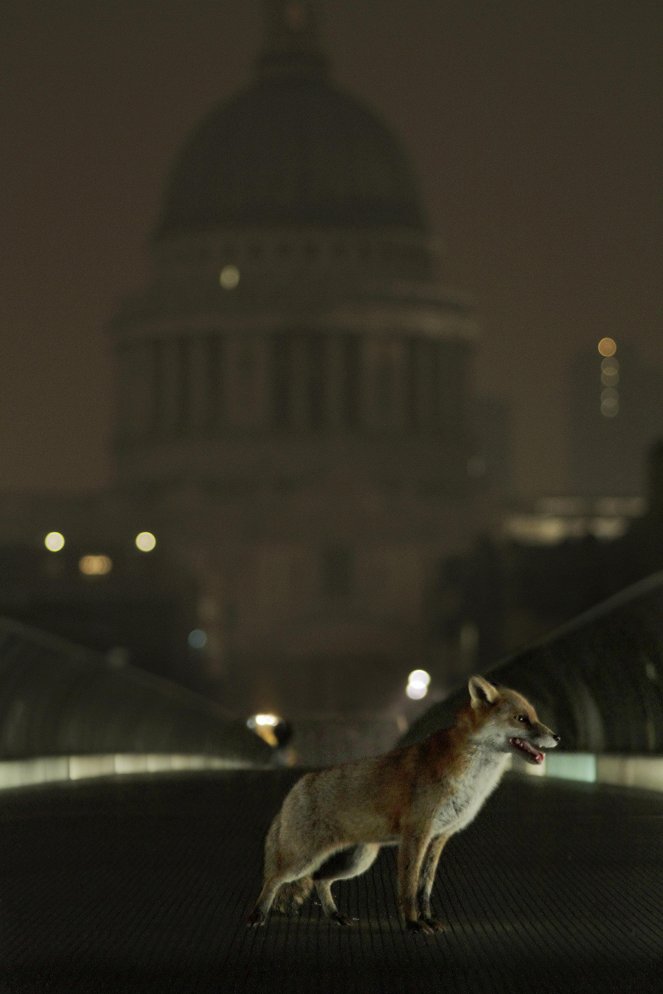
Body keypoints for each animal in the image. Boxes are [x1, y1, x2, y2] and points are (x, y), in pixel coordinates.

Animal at [249, 676, 560, 928]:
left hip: (357, 861)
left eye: (535, 716)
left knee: (319, 880)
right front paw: (412, 924)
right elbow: (408, 887)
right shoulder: (416, 834)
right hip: (303, 859)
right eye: (522, 719)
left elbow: (425, 887)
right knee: (273, 880)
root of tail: (296, 788)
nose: (556, 736)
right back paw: (257, 916)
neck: (472, 781)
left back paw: (335, 916)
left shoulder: (439, 837)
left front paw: (428, 920)